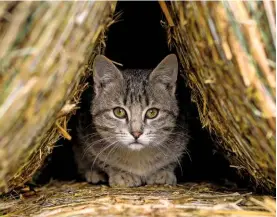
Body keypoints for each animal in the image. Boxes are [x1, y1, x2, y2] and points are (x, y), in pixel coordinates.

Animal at [73, 54, 190, 186]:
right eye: (119, 112)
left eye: (152, 113)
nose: (136, 133)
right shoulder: (85, 136)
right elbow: (99, 159)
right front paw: (120, 173)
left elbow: (173, 159)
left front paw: (163, 172)